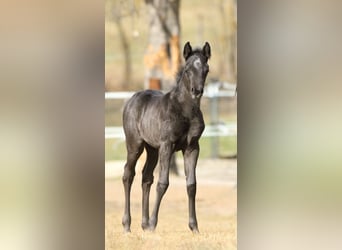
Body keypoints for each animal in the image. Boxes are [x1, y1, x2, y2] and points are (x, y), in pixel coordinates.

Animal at [121, 41, 210, 232]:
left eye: (206, 69)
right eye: (187, 69)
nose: (197, 91)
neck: (185, 111)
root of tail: (132, 99)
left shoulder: (192, 147)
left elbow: (192, 185)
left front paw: (194, 227)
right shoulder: (167, 145)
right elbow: (163, 183)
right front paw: (154, 224)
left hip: (152, 149)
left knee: (146, 177)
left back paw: (144, 224)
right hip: (135, 145)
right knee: (128, 175)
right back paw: (127, 225)